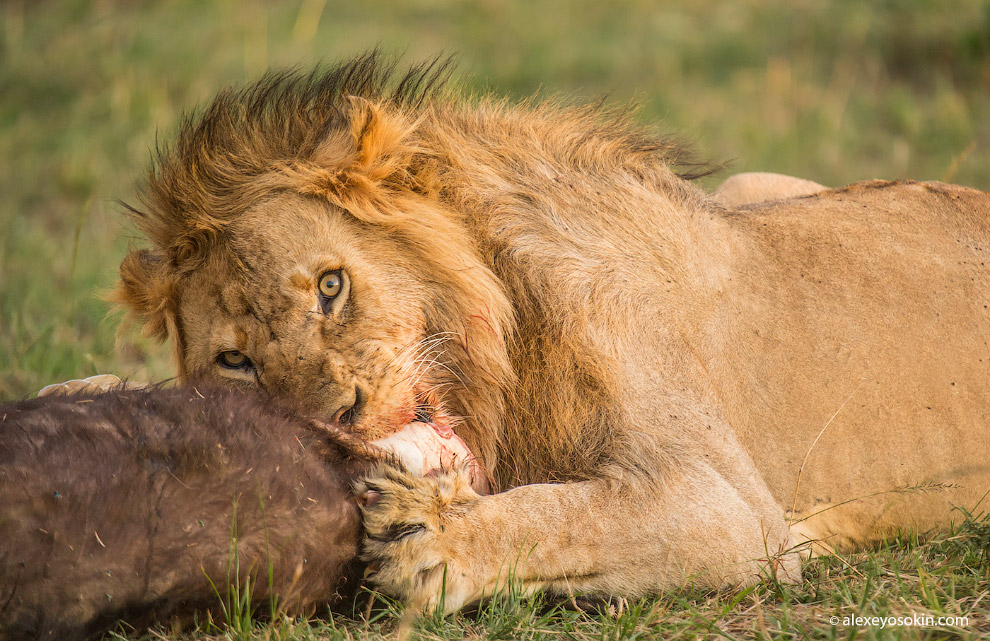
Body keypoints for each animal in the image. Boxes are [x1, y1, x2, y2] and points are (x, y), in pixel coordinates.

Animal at [95, 56, 990, 616]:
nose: (338, 416)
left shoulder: (737, 509)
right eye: (235, 360)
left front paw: (436, 535)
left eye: (330, 285)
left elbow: (568, 513)